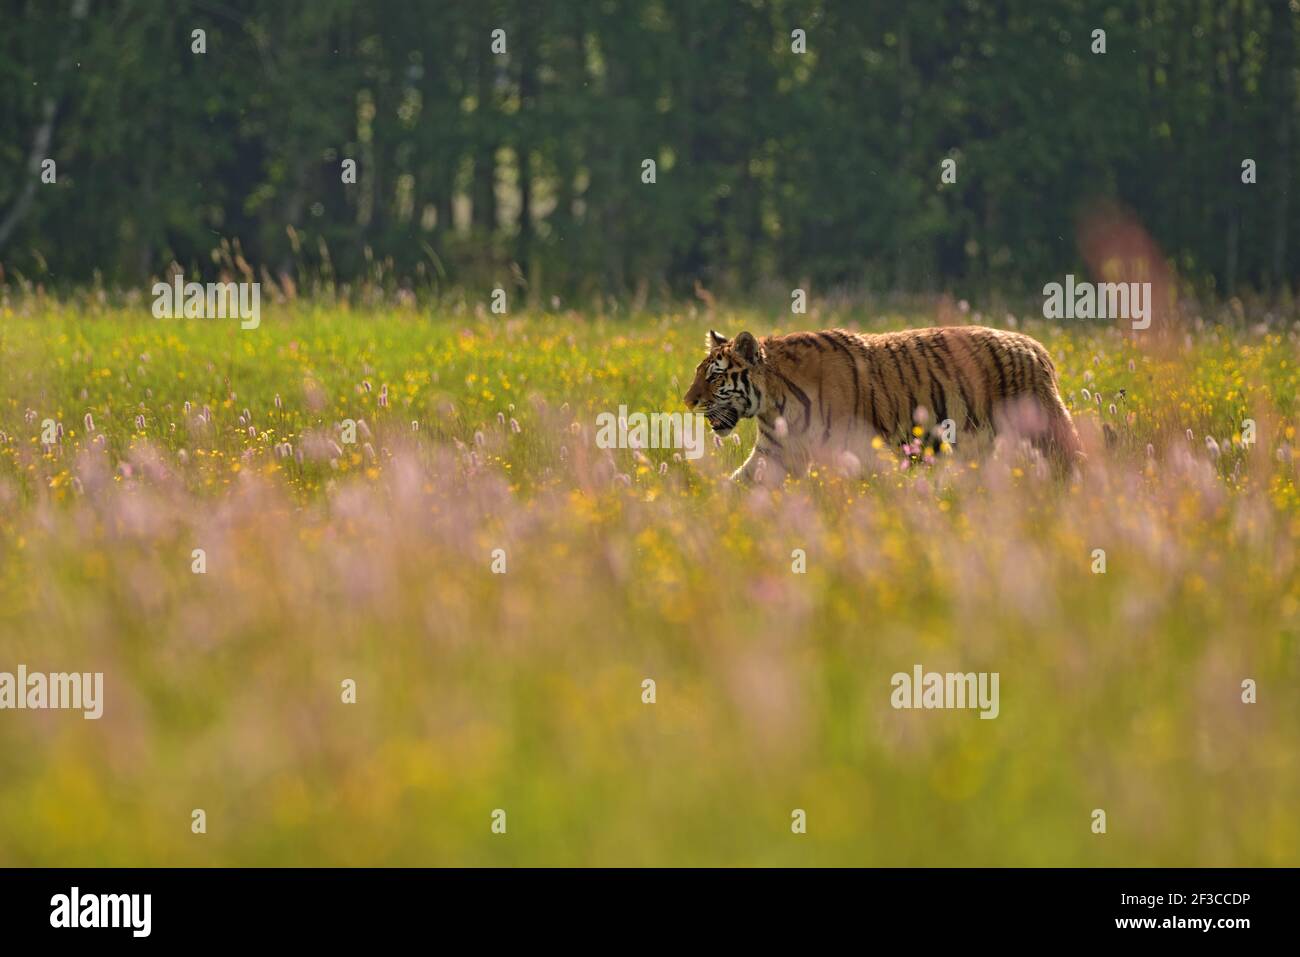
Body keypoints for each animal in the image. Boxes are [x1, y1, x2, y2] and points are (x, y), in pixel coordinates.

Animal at [686, 325, 1081, 481]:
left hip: (1048, 434)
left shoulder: (863, 451)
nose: (688, 401)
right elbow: (735, 485)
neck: (773, 403)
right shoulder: (772, 454)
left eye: (714, 377)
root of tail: (1035, 346)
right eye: (699, 373)